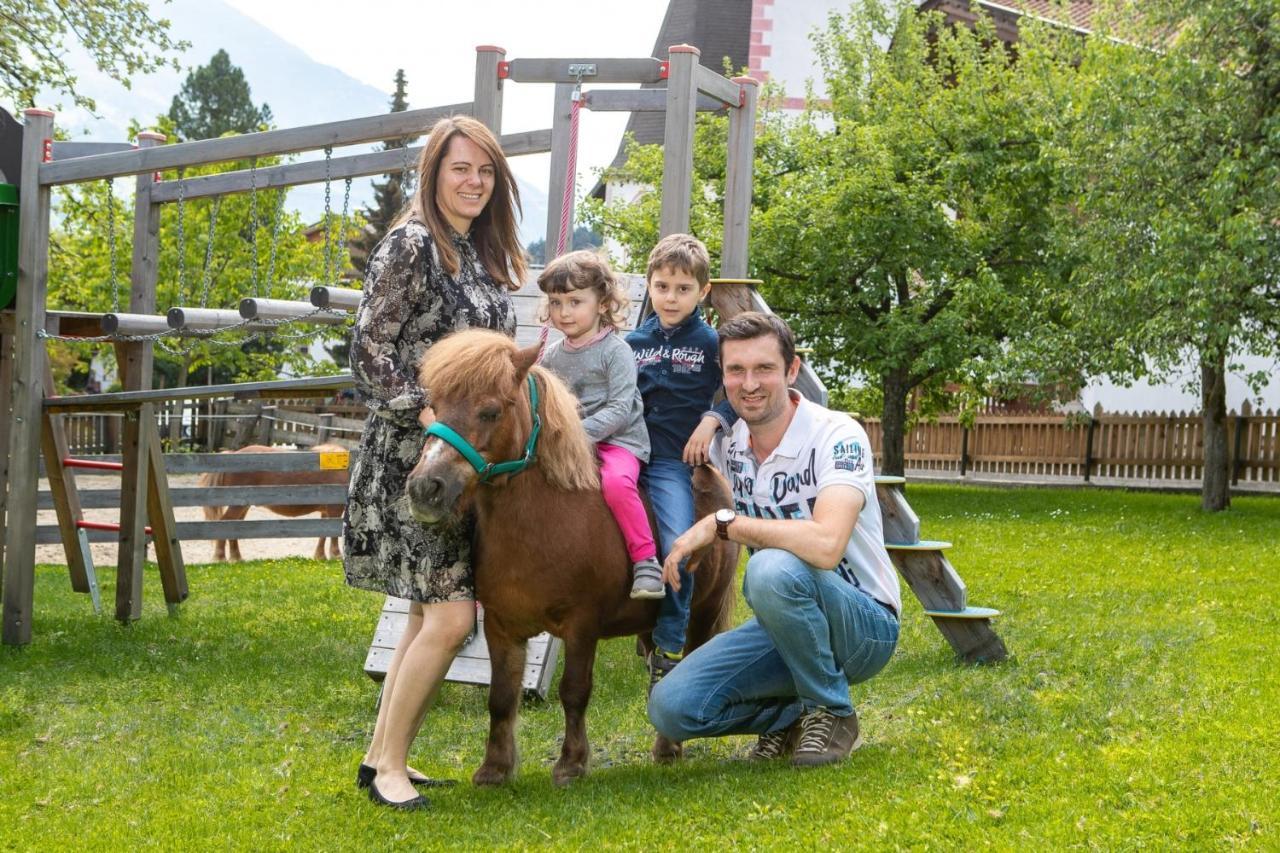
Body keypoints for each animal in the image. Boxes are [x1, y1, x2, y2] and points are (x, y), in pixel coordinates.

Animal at [195, 440, 348, 560]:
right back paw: (220, 557)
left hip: (243, 507)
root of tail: (234, 453)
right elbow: (333, 534)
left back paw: (236, 558)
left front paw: (320, 556)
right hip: (237, 506)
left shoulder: (326, 511)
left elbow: (324, 533)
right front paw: (336, 555)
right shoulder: (335, 509)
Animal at [399, 326, 742, 783]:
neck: (546, 521)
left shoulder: (582, 625)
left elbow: (574, 691)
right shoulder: (501, 628)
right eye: (434, 407)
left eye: (490, 412)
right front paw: (495, 768)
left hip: (702, 612)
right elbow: (501, 696)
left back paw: (669, 746)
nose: (425, 487)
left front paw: (571, 763)